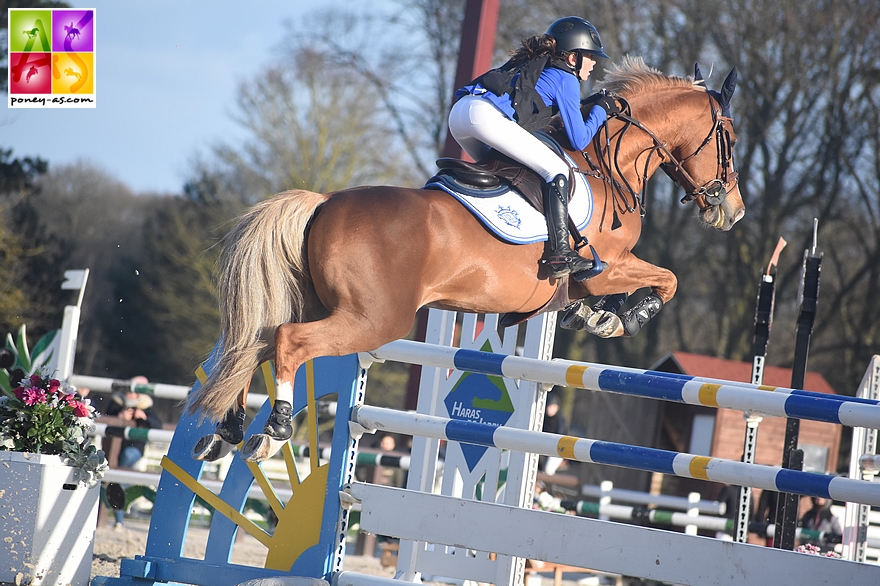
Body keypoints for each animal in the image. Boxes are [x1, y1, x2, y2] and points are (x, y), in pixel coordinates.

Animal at [186, 58, 744, 460]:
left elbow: (594, 297)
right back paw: (274, 430)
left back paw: (226, 431)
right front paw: (627, 316)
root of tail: (323, 203)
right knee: (287, 341)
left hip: (323, 305)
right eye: (731, 139)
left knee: (253, 345)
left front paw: (596, 317)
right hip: (372, 319)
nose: (732, 210)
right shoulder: (610, 265)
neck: (609, 163)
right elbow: (667, 279)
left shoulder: (591, 279)